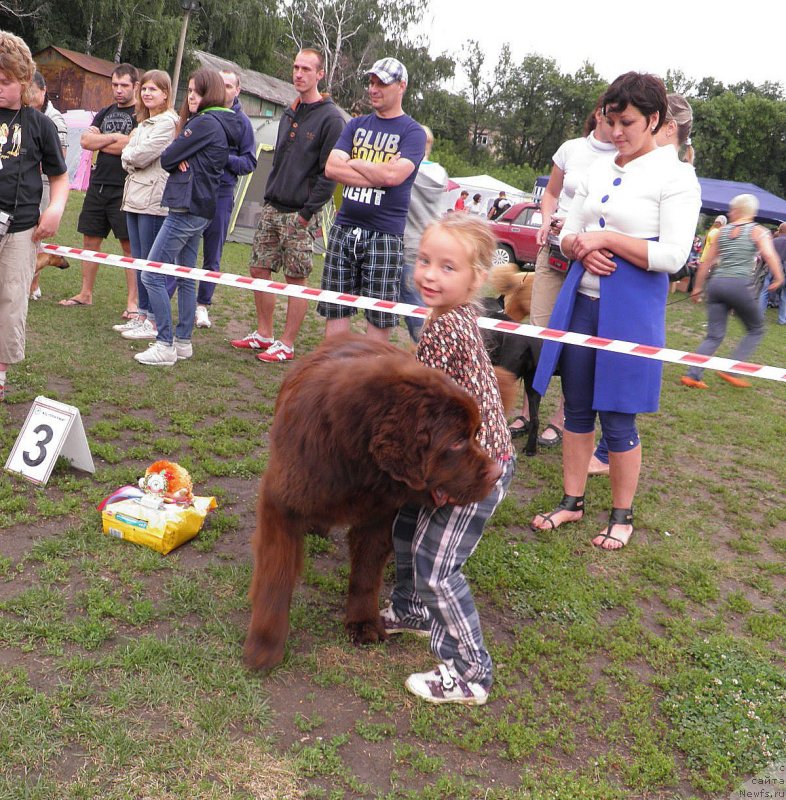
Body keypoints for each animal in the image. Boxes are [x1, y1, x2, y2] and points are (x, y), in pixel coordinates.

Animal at [243, 334, 502, 672]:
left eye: (475, 433)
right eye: (457, 441)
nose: (497, 473)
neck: (355, 464)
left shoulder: (378, 515)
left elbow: (366, 573)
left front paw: (363, 622)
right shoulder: (282, 503)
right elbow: (276, 576)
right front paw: (265, 644)